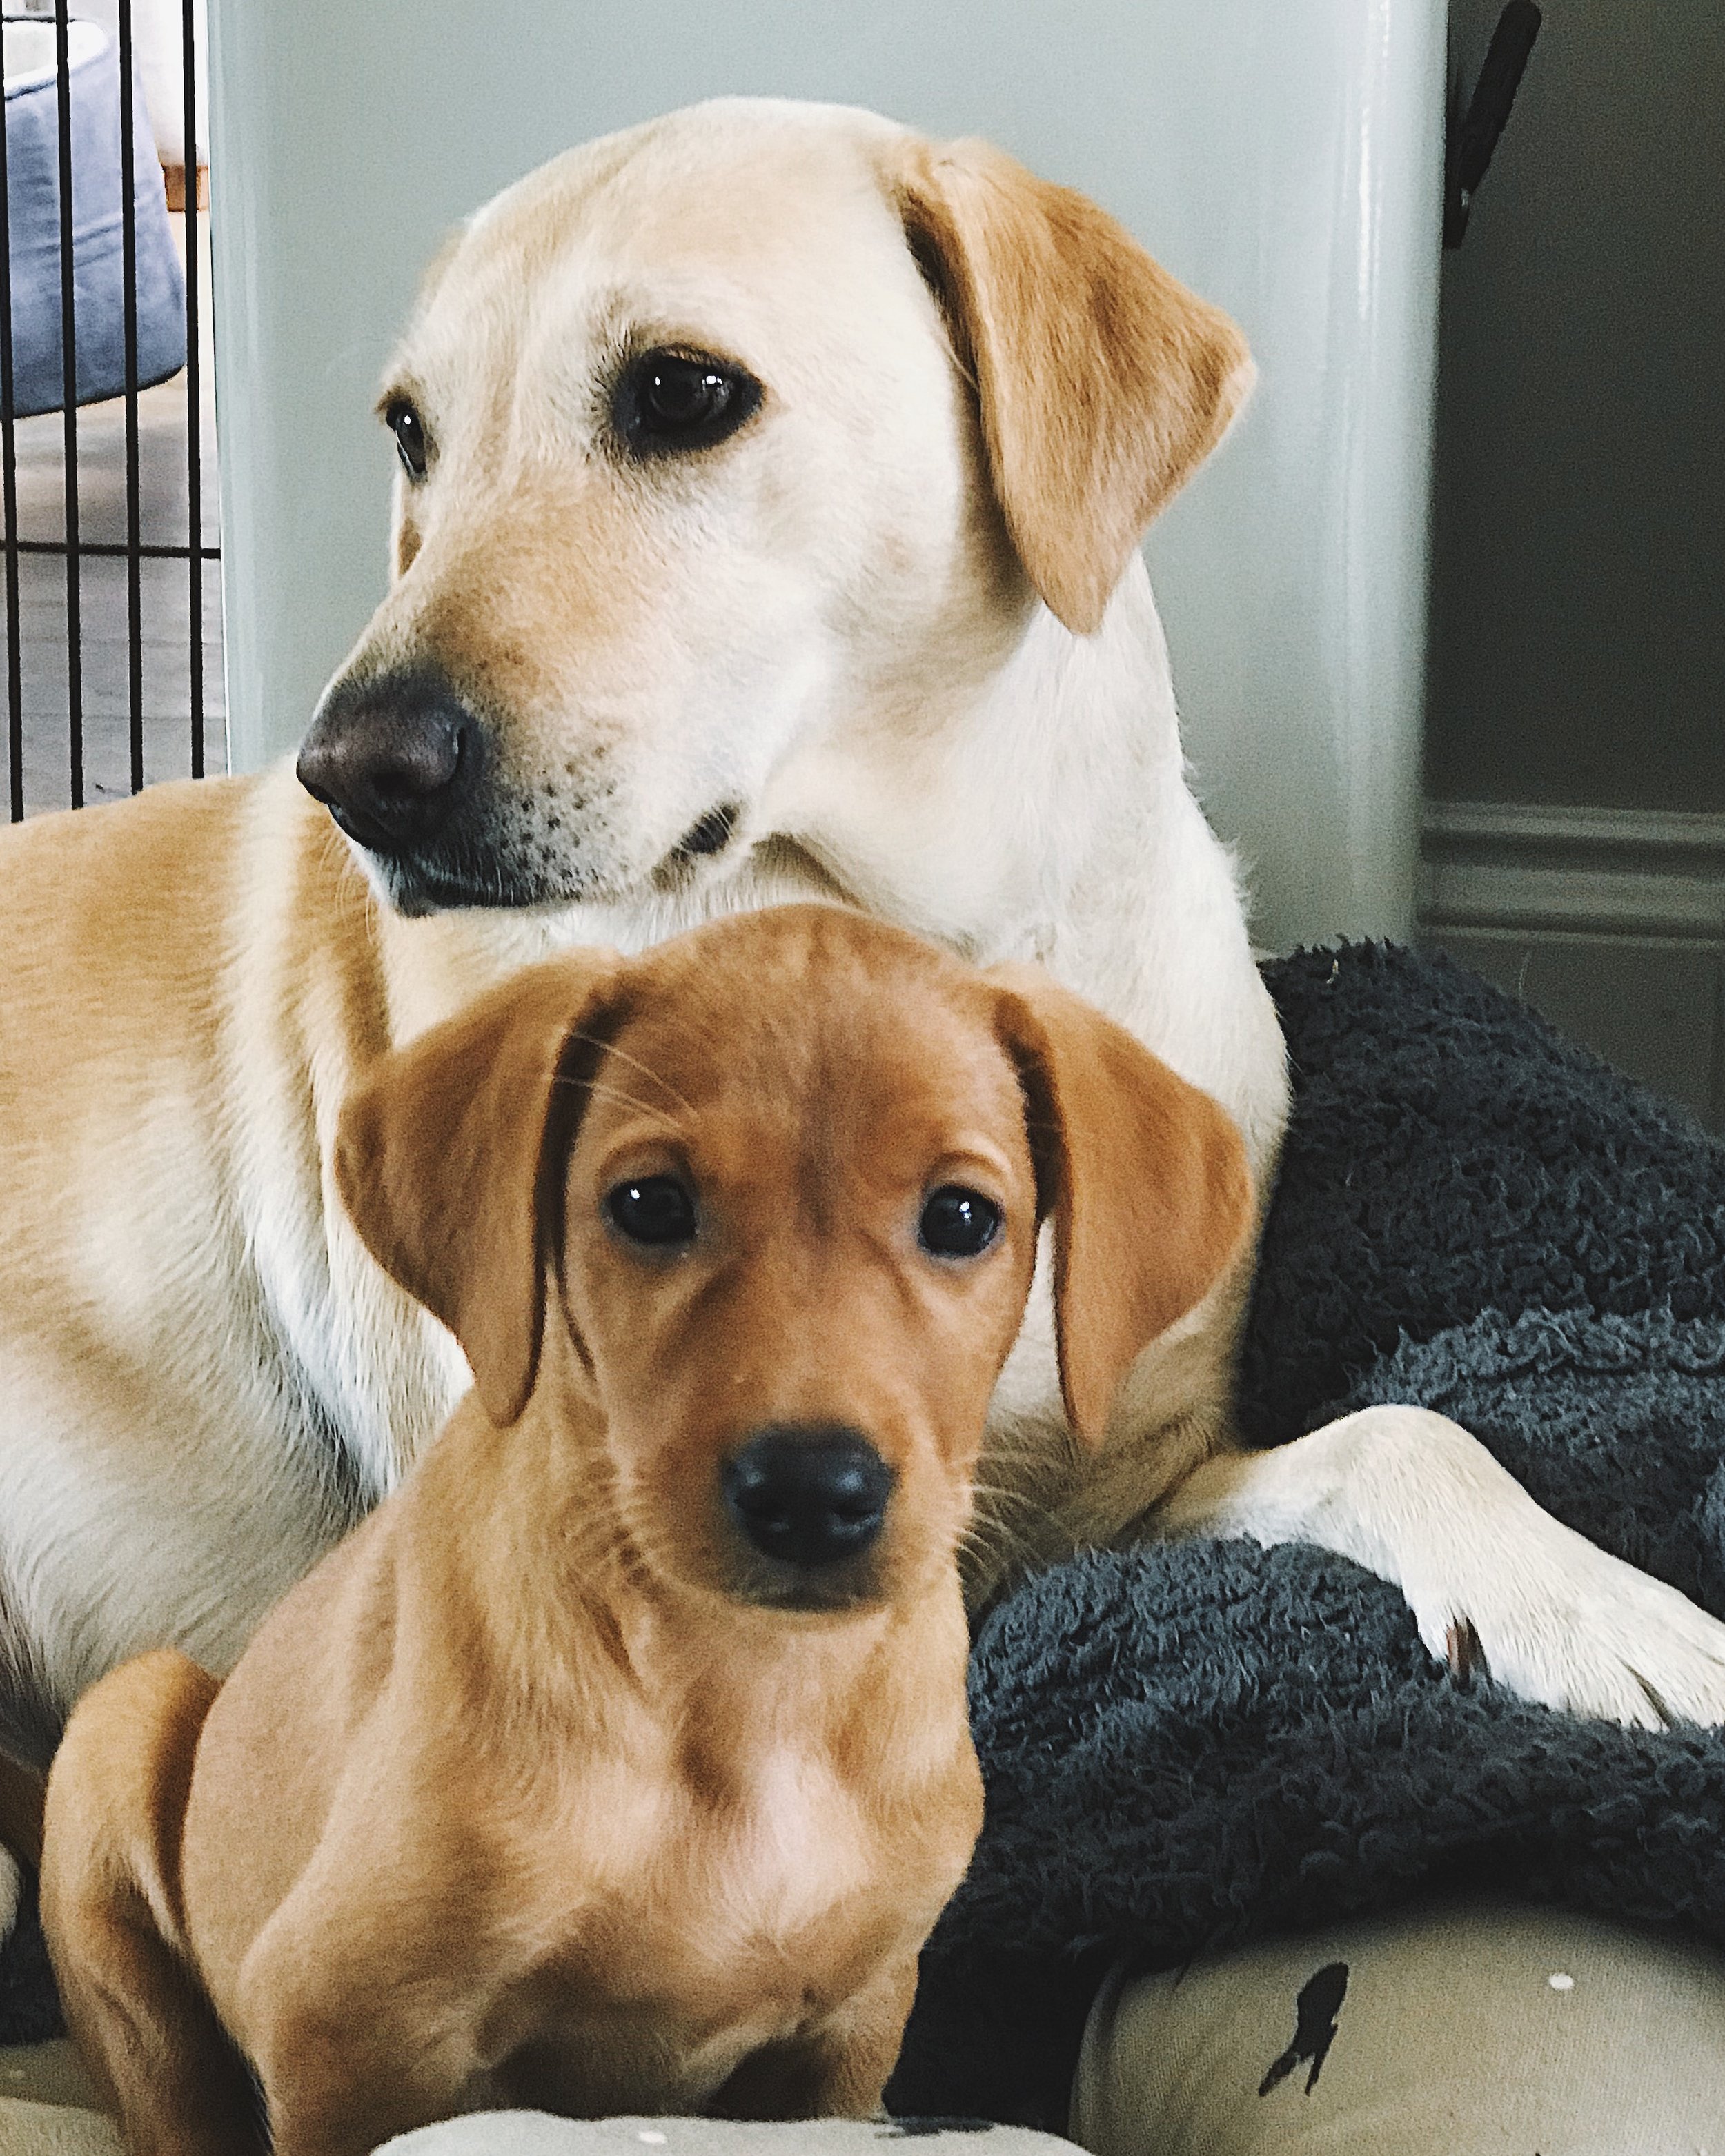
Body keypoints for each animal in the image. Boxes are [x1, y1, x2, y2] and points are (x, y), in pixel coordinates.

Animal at [3, 101, 1725, 1863]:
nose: (351, 775)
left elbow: (1398, 1427)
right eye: (414, 432)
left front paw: (1591, 1604)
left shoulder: (1106, 1489)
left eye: (681, 391)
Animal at [40, 905, 1250, 2156]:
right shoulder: (341, 2022)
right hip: (123, 1731)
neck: (752, 1694)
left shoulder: (848, 2038)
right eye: (649, 1206)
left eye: (962, 1217)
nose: (811, 1490)